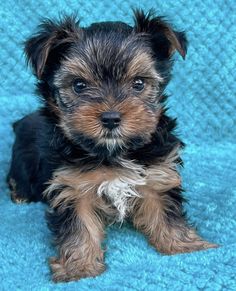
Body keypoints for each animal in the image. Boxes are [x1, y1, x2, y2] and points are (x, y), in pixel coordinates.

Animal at [6, 9, 218, 282]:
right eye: (79, 85)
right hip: (21, 162)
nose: (110, 118)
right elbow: (80, 227)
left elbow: (166, 212)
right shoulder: (72, 187)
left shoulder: (157, 174)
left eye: (138, 83)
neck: (113, 152)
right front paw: (79, 268)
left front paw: (185, 245)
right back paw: (19, 196)